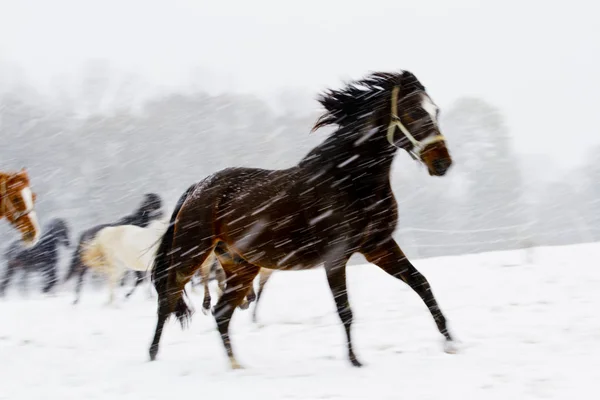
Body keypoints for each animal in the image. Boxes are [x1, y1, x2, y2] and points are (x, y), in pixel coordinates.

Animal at [149, 71, 454, 368]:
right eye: (412, 112)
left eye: (435, 111)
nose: (442, 163)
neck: (349, 180)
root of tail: (196, 188)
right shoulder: (336, 257)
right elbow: (345, 310)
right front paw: (355, 361)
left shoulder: (378, 246)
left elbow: (421, 283)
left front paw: (450, 341)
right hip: (191, 254)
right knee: (168, 299)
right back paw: (152, 356)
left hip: (241, 266)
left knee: (221, 313)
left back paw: (236, 364)